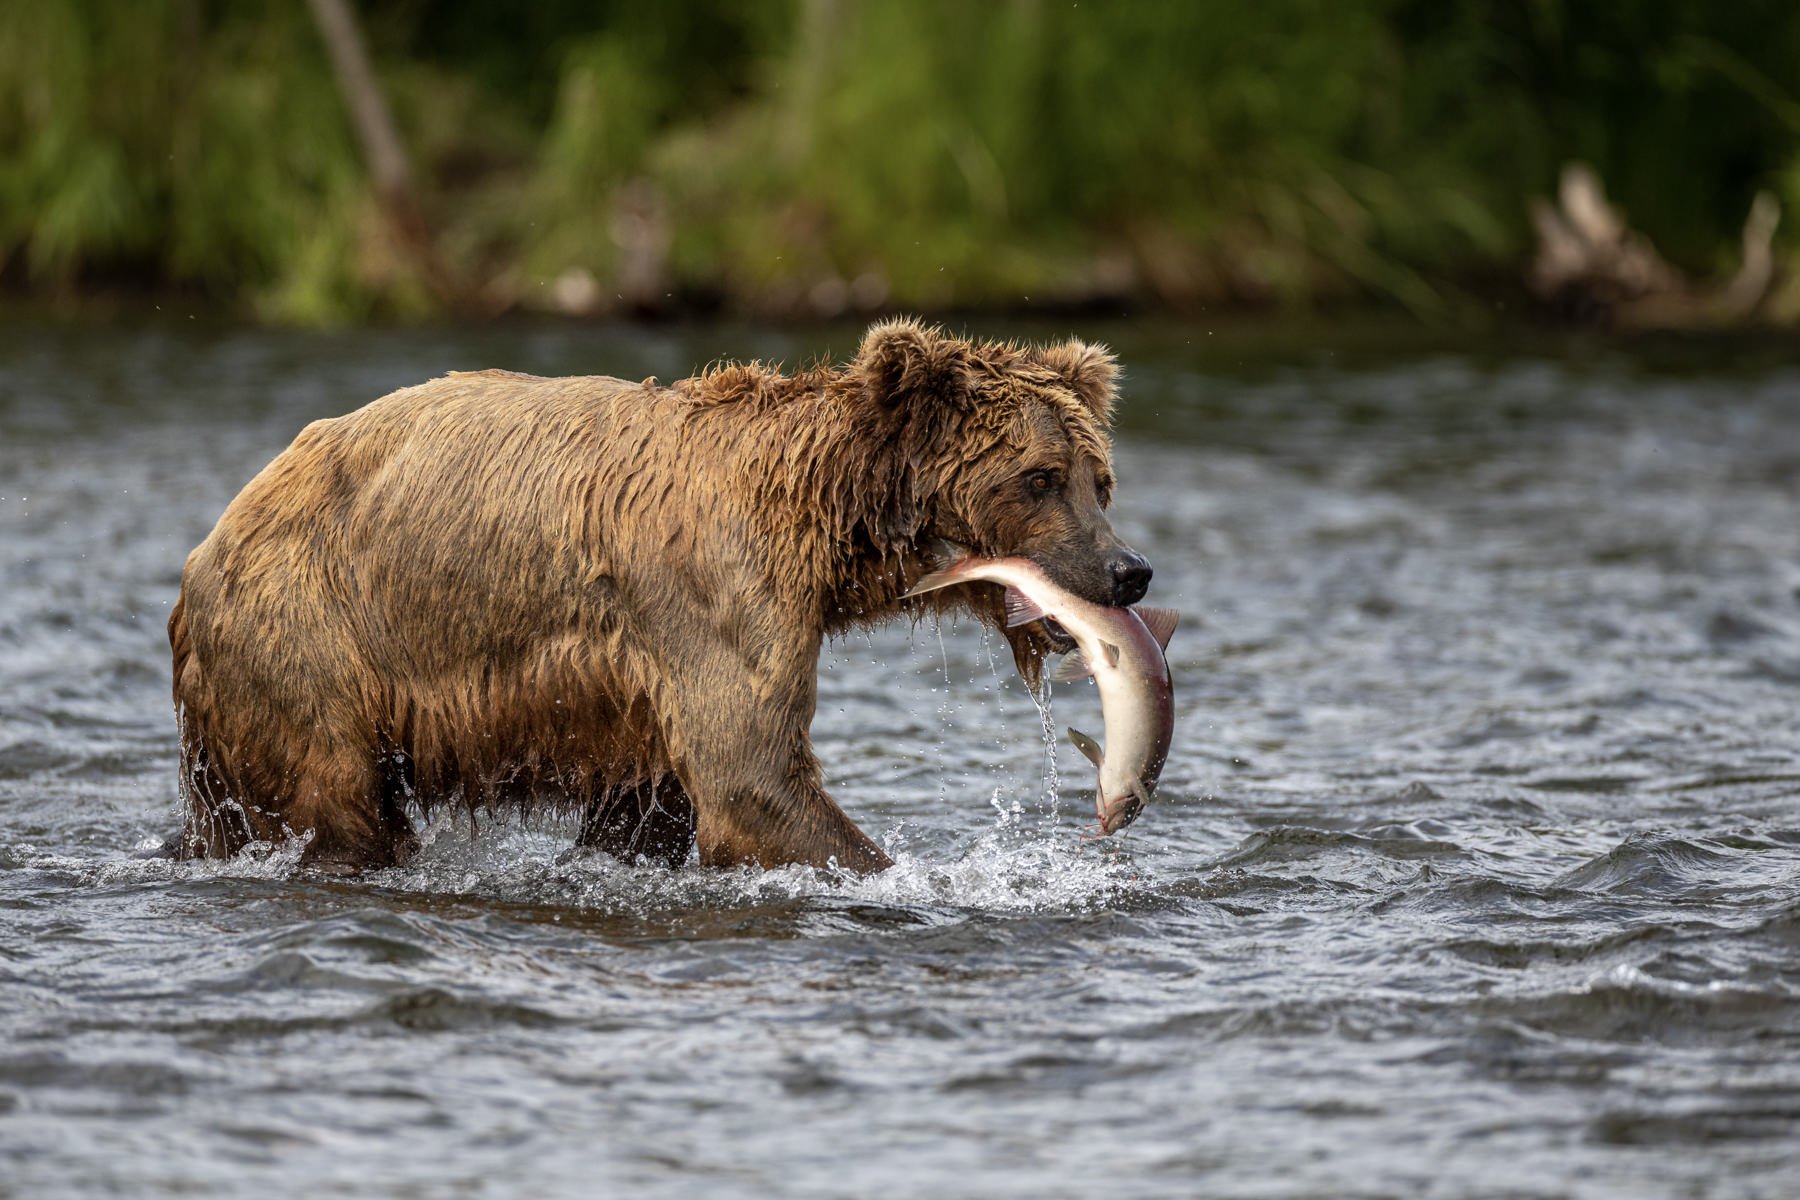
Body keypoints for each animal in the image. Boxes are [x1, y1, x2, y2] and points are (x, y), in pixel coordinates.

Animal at [171, 322, 1152, 874]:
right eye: (1038, 478)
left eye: (1099, 480)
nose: (1128, 570)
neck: (821, 524)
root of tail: (206, 547)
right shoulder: (711, 595)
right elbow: (753, 777)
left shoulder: (631, 701)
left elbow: (653, 811)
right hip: (308, 635)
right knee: (341, 800)